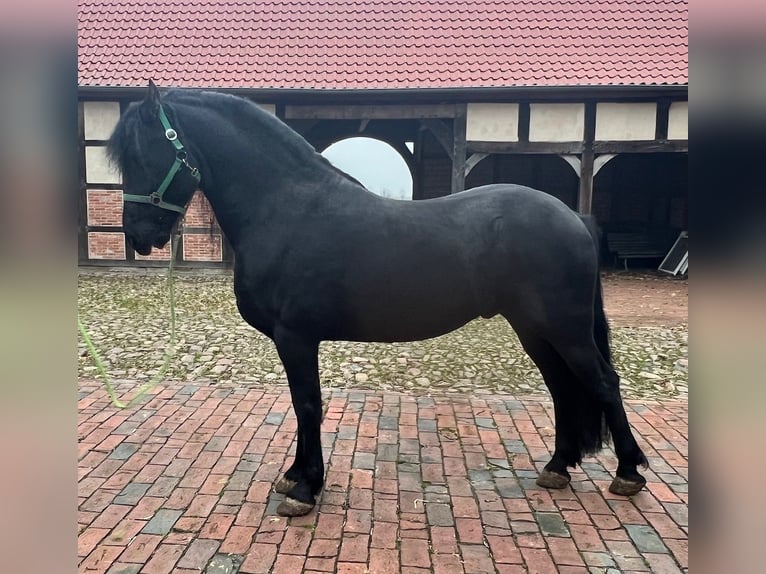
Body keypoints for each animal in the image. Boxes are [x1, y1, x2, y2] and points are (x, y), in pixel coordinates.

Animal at [108, 83, 648, 520]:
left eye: (144, 154)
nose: (138, 236)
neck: (286, 208)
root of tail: (574, 217)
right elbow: (304, 405)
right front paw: (296, 475)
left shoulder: (295, 336)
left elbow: (307, 403)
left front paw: (305, 490)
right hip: (535, 328)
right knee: (562, 387)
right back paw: (558, 466)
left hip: (565, 328)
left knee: (602, 382)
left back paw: (628, 473)